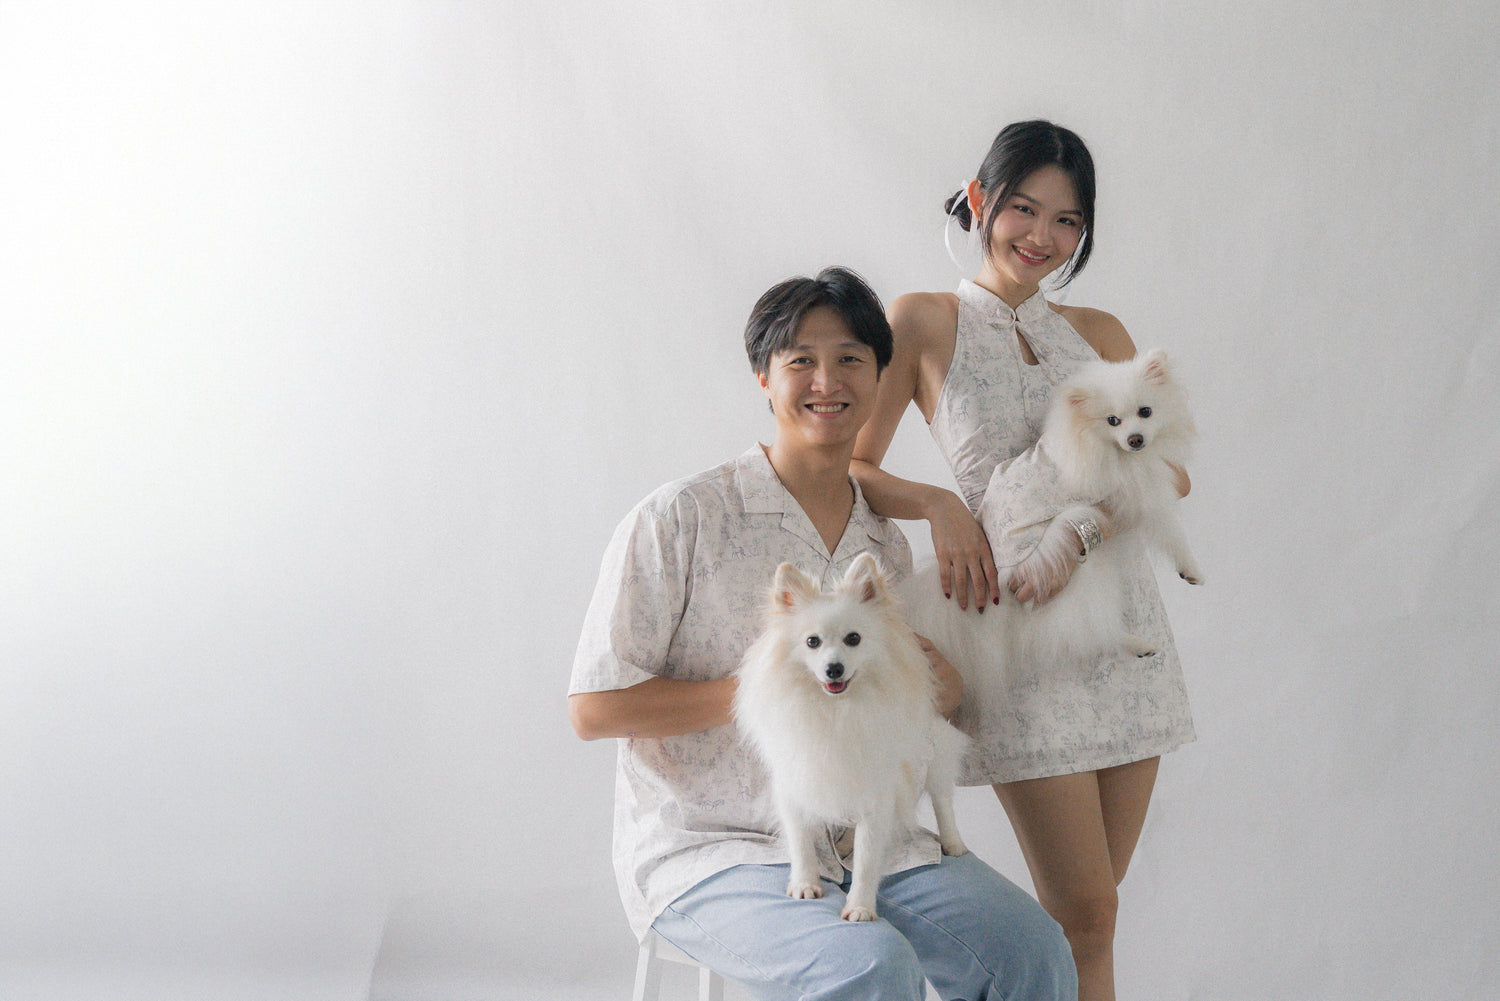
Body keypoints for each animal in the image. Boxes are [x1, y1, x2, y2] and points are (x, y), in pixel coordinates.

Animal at [733, 552, 969, 922]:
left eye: (853, 639)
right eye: (812, 642)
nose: (834, 669)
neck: (835, 712)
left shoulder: (878, 796)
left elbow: (867, 859)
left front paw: (860, 906)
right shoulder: (794, 783)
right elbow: (801, 842)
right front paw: (804, 883)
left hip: (936, 756)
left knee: (943, 799)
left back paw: (953, 842)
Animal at [903, 348, 1204, 670]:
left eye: (1145, 412)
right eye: (1112, 421)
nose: (1135, 439)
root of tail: (994, 572)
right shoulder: (1142, 496)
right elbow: (1173, 531)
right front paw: (1190, 568)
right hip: (1069, 563)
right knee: (1088, 630)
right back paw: (1135, 643)